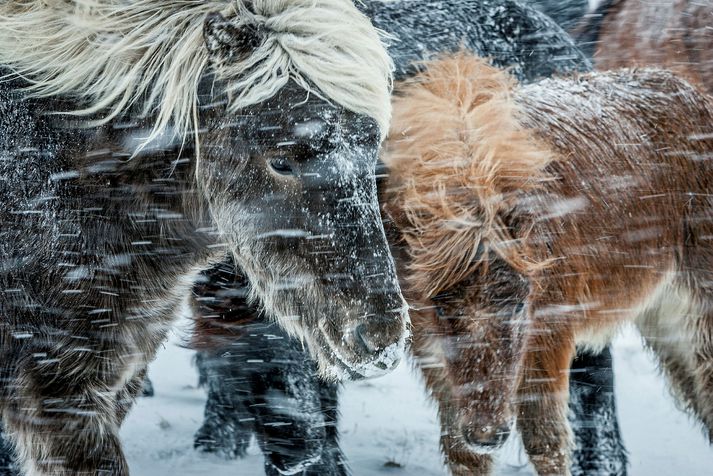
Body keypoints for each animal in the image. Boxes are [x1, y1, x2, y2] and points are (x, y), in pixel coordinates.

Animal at [384, 53, 712, 476]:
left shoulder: (550, 334)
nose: (487, 432)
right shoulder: (431, 352)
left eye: (519, 304)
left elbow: (547, 441)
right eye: (440, 307)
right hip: (666, 321)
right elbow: (462, 451)